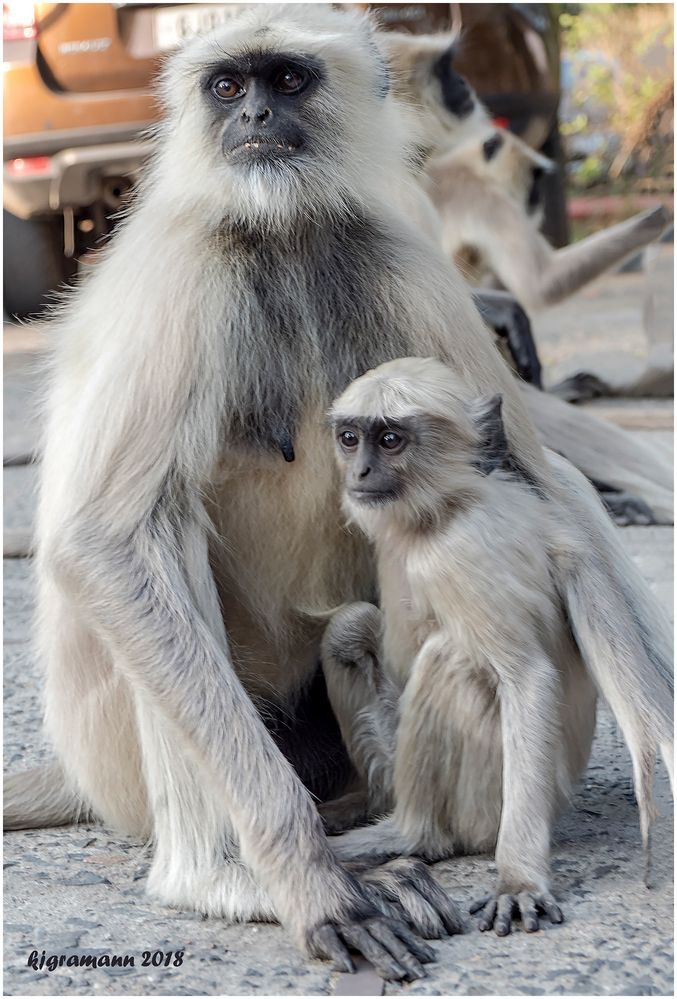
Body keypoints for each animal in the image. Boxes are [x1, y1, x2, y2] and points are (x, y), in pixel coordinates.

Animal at [320, 356, 672, 932]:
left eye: (390, 440)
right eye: (351, 439)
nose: (361, 473)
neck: (451, 507)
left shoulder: (460, 554)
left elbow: (528, 677)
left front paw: (519, 880)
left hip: (484, 804)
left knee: (449, 659)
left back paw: (408, 836)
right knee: (349, 628)